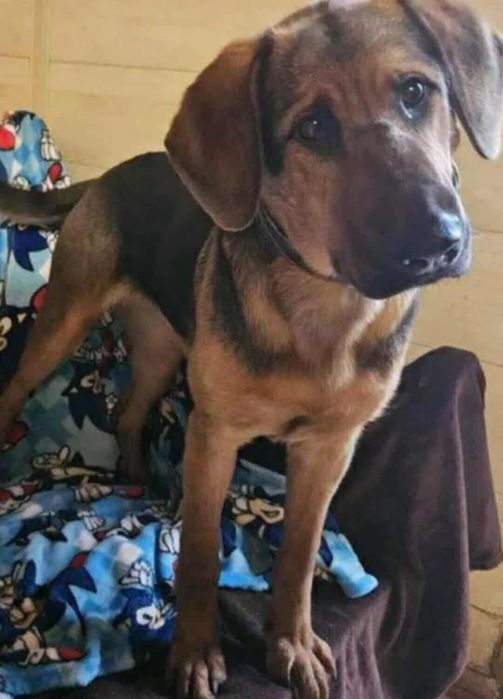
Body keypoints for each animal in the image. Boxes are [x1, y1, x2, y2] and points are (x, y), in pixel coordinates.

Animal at [1, 1, 502, 697]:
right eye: (313, 127)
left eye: (415, 92)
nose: (436, 240)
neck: (323, 309)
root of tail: (109, 176)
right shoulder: (215, 433)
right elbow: (200, 557)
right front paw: (194, 654)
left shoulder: (328, 449)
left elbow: (299, 555)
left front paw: (291, 645)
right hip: (64, 321)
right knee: (15, 388)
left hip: (161, 349)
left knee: (128, 413)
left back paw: (141, 482)